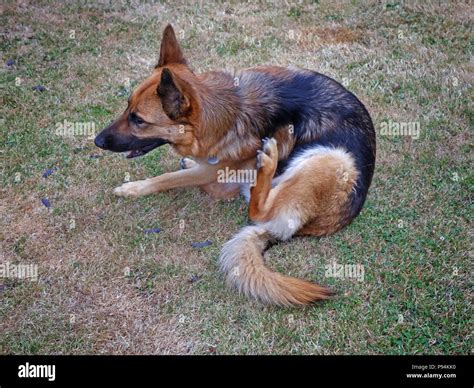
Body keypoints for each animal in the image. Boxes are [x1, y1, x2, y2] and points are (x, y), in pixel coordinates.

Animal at [94, 25, 376, 308]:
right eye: (127, 107)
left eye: (138, 120)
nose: (97, 141)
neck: (226, 110)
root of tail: (299, 230)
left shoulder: (212, 169)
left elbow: (168, 178)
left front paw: (133, 188)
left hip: (332, 159)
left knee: (257, 210)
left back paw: (269, 160)